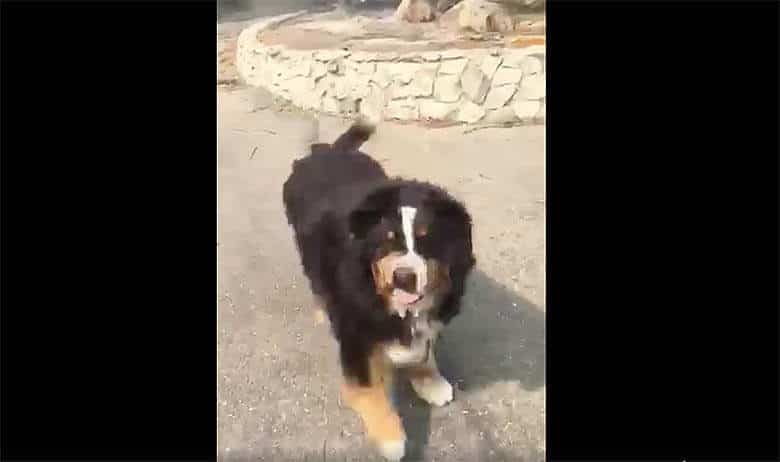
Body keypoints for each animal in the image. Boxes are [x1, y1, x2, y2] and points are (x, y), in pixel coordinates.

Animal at [282, 121, 476, 460]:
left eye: (426, 240)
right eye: (387, 241)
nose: (403, 277)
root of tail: (328, 151)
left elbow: (423, 349)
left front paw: (429, 380)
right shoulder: (356, 338)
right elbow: (369, 389)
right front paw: (390, 436)